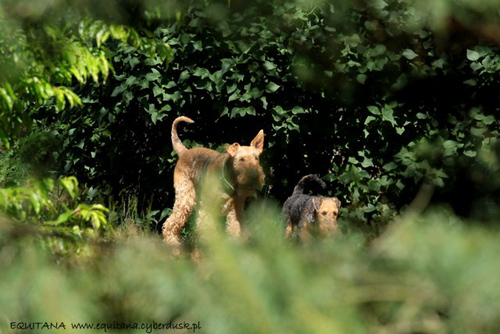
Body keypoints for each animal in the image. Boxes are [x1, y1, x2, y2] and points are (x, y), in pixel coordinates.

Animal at [163, 116, 266, 252]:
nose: (255, 178)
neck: (230, 183)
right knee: (170, 223)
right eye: (241, 159)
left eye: (256, 158)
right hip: (185, 198)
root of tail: (185, 152)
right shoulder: (208, 210)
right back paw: (175, 248)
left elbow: (235, 231)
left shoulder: (235, 212)